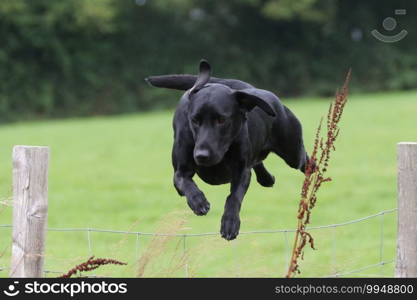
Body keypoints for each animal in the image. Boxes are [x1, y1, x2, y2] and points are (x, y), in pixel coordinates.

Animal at [146, 59, 308, 240]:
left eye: (221, 120)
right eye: (194, 120)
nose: (201, 155)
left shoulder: (241, 171)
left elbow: (234, 197)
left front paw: (230, 223)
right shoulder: (180, 171)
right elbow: (186, 183)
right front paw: (198, 201)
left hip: (293, 153)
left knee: (305, 160)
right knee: (258, 161)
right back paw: (267, 179)